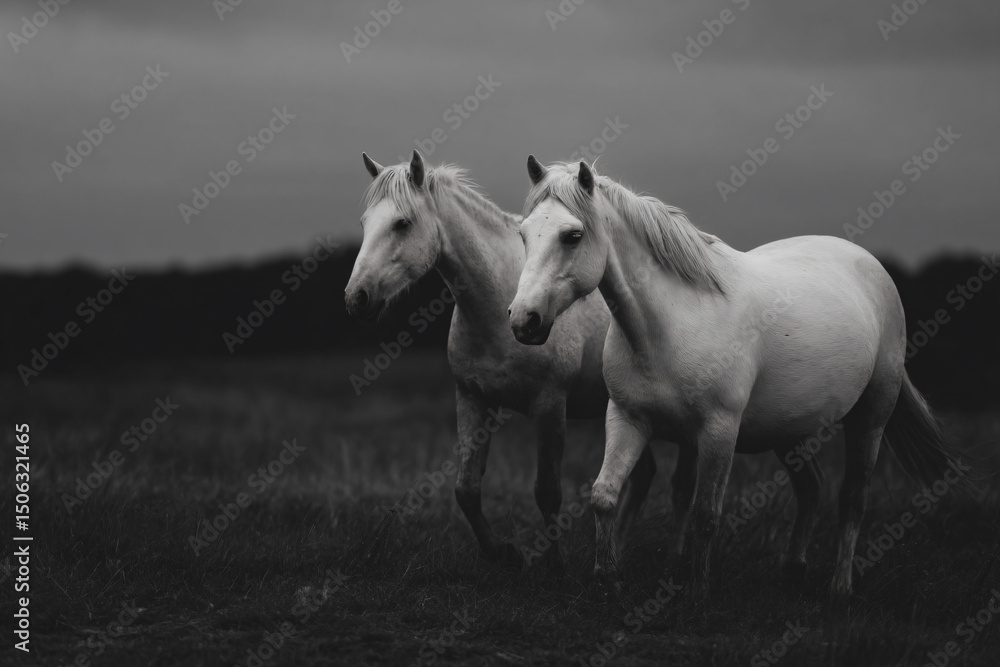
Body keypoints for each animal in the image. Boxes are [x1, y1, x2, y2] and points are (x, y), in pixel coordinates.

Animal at [344, 150, 660, 570]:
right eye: (365, 223)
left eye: (402, 223)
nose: (356, 298)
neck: (496, 308)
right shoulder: (473, 400)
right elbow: (466, 489)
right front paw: (502, 553)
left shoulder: (549, 407)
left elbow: (547, 492)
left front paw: (555, 565)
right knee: (643, 476)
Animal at [508, 156, 956, 597]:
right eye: (524, 234)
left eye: (572, 236)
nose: (523, 320)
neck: (670, 323)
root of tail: (870, 265)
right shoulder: (627, 419)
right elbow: (604, 495)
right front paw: (608, 576)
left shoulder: (719, 430)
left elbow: (706, 513)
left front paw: (698, 590)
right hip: (789, 431)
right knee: (811, 488)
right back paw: (793, 571)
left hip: (871, 418)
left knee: (853, 497)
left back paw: (840, 587)